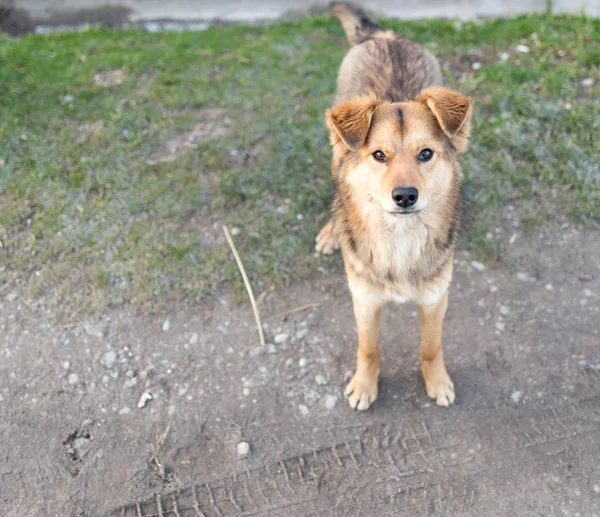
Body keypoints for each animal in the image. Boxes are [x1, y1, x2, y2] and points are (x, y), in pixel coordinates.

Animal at [314, 2, 474, 410]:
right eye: (379, 155)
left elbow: (431, 347)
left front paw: (437, 381)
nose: (404, 196)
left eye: (426, 154)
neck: (400, 238)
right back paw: (331, 231)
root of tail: (387, 36)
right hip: (334, 149)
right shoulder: (364, 300)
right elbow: (369, 349)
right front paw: (365, 385)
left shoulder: (436, 298)